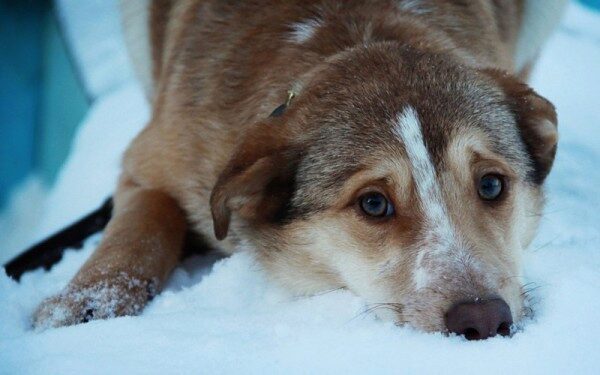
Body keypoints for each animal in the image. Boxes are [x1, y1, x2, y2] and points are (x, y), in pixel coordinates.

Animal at [34, 0, 568, 340]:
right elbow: (142, 227)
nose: (484, 320)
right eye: (373, 203)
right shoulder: (147, 163)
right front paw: (85, 305)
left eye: (492, 184)